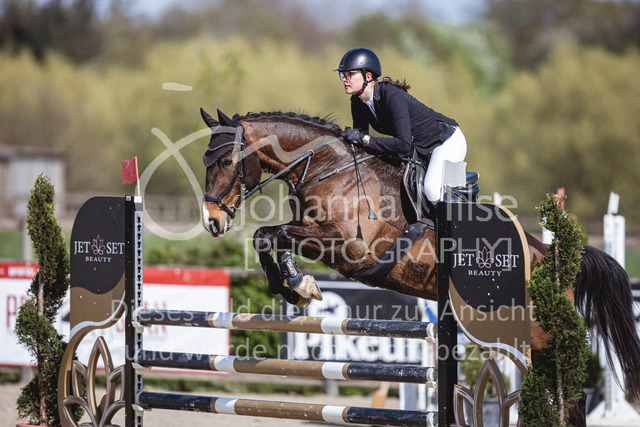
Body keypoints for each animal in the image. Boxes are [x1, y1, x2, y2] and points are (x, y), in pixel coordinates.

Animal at [199, 108, 640, 411]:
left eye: (225, 162)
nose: (212, 221)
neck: (328, 168)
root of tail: (554, 256)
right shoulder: (317, 236)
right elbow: (267, 236)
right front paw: (291, 287)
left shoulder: (350, 249)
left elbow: (276, 235)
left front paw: (298, 284)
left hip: (538, 331)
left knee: (568, 388)